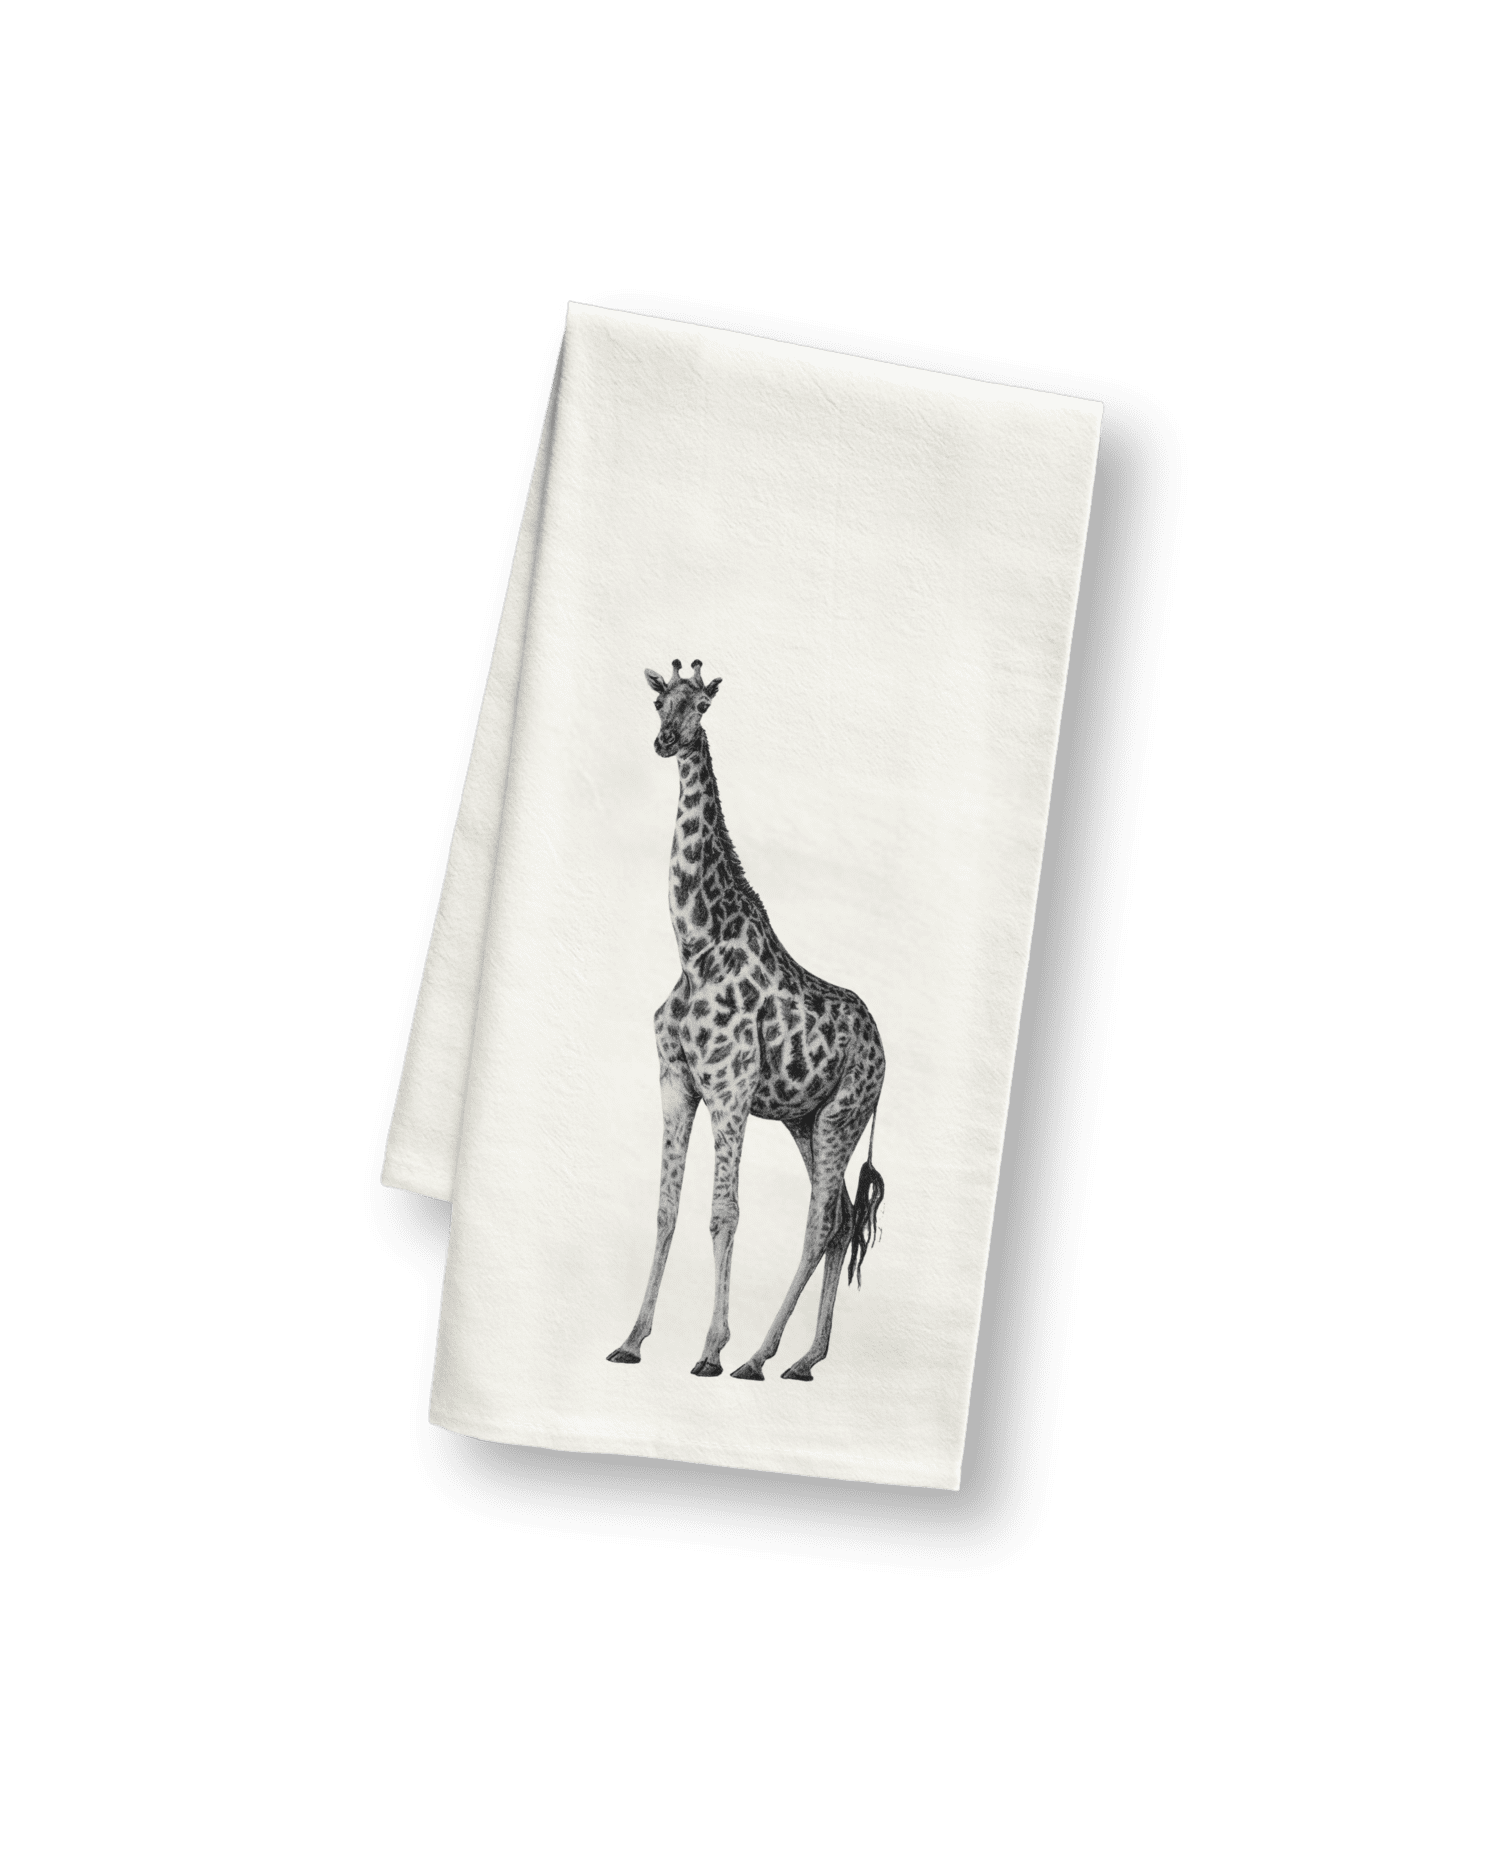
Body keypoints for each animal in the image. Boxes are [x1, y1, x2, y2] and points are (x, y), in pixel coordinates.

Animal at [607, 659, 886, 1382]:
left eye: (702, 705)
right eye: (659, 702)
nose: (666, 742)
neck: (694, 944)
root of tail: (883, 1048)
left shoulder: (729, 1089)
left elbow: (723, 1213)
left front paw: (710, 1347)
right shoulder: (677, 1084)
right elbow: (667, 1209)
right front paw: (632, 1339)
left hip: (841, 1116)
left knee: (822, 1222)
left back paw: (758, 1356)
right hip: (805, 1120)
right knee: (843, 1217)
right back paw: (804, 1359)